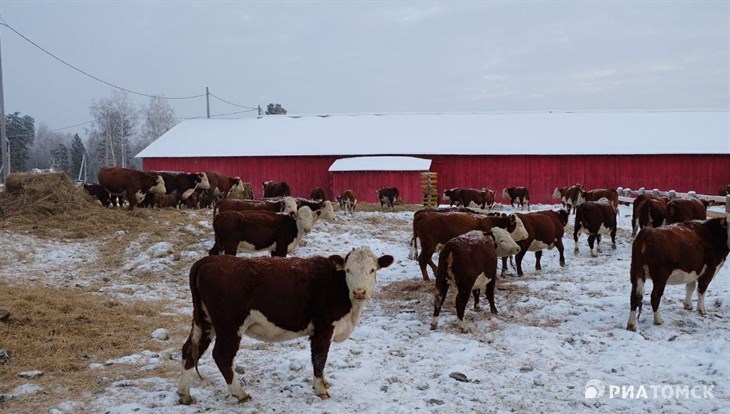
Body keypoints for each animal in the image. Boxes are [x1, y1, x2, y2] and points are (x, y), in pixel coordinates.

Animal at [177, 247, 392, 402]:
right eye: (348, 270)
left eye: (372, 270)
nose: (359, 292)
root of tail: (208, 261)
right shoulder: (322, 329)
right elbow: (319, 358)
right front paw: (320, 389)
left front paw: (324, 383)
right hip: (229, 326)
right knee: (222, 356)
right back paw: (240, 394)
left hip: (204, 322)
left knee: (190, 350)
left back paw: (184, 395)